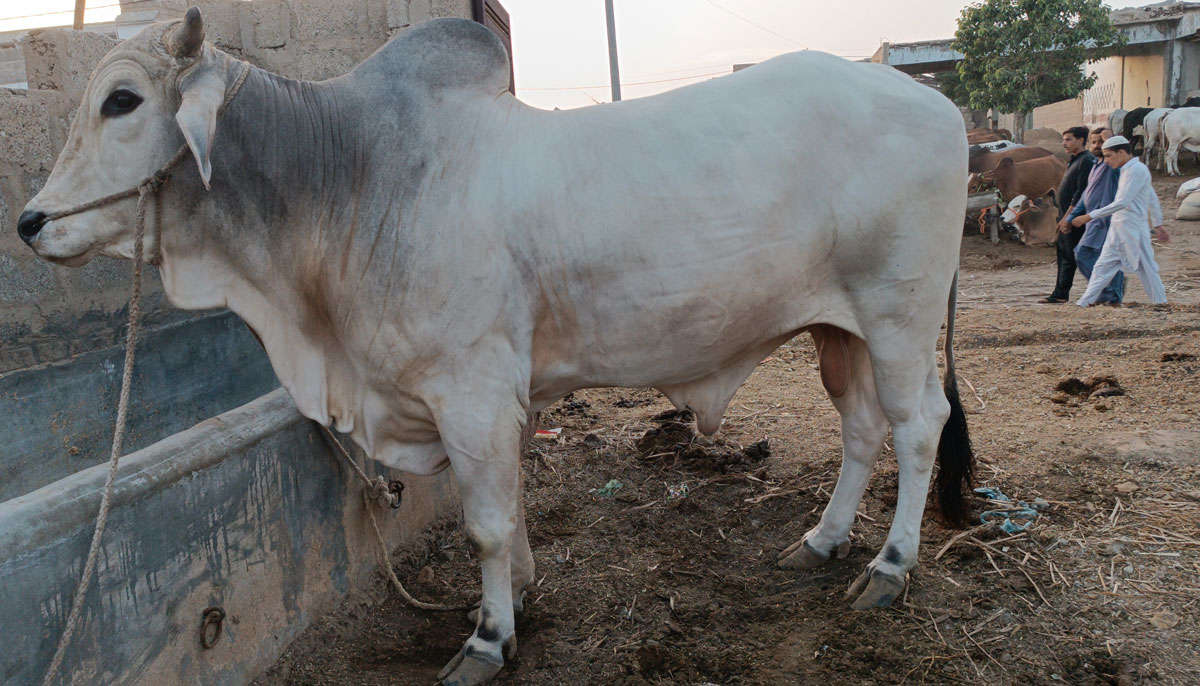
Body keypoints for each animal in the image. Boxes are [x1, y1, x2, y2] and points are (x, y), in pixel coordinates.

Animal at [18, 8, 974, 681]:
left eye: (122, 101)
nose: (30, 223)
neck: (348, 182)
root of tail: (938, 102)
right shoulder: (490, 401)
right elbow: (509, 511)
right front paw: (524, 593)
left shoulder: (469, 392)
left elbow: (482, 523)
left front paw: (488, 638)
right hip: (837, 330)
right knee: (862, 429)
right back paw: (822, 541)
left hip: (898, 316)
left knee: (917, 427)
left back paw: (889, 568)